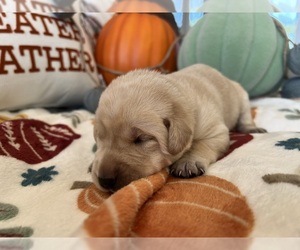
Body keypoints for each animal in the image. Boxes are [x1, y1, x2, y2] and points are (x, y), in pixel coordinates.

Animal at [92, 64, 266, 191]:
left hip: (242, 96)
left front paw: (187, 162)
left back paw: (252, 128)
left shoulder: (216, 131)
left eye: (141, 139)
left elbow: (201, 144)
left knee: (245, 116)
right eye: (100, 138)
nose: (104, 180)